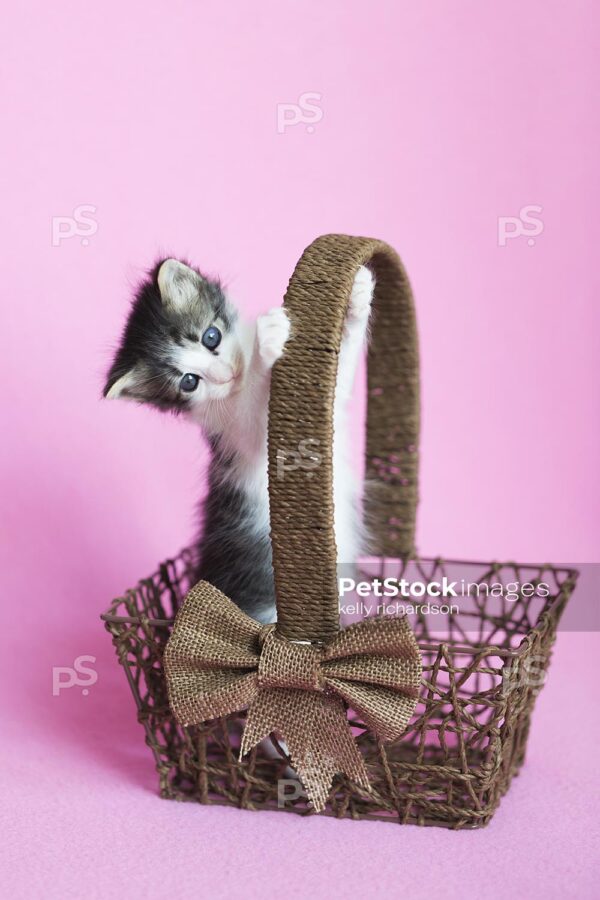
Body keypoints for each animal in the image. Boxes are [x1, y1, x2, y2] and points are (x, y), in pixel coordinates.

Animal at [105, 260, 372, 624]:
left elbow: (341, 370)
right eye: (189, 382)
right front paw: (266, 341)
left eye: (211, 336)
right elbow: (258, 415)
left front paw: (358, 294)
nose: (224, 375)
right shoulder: (240, 439)